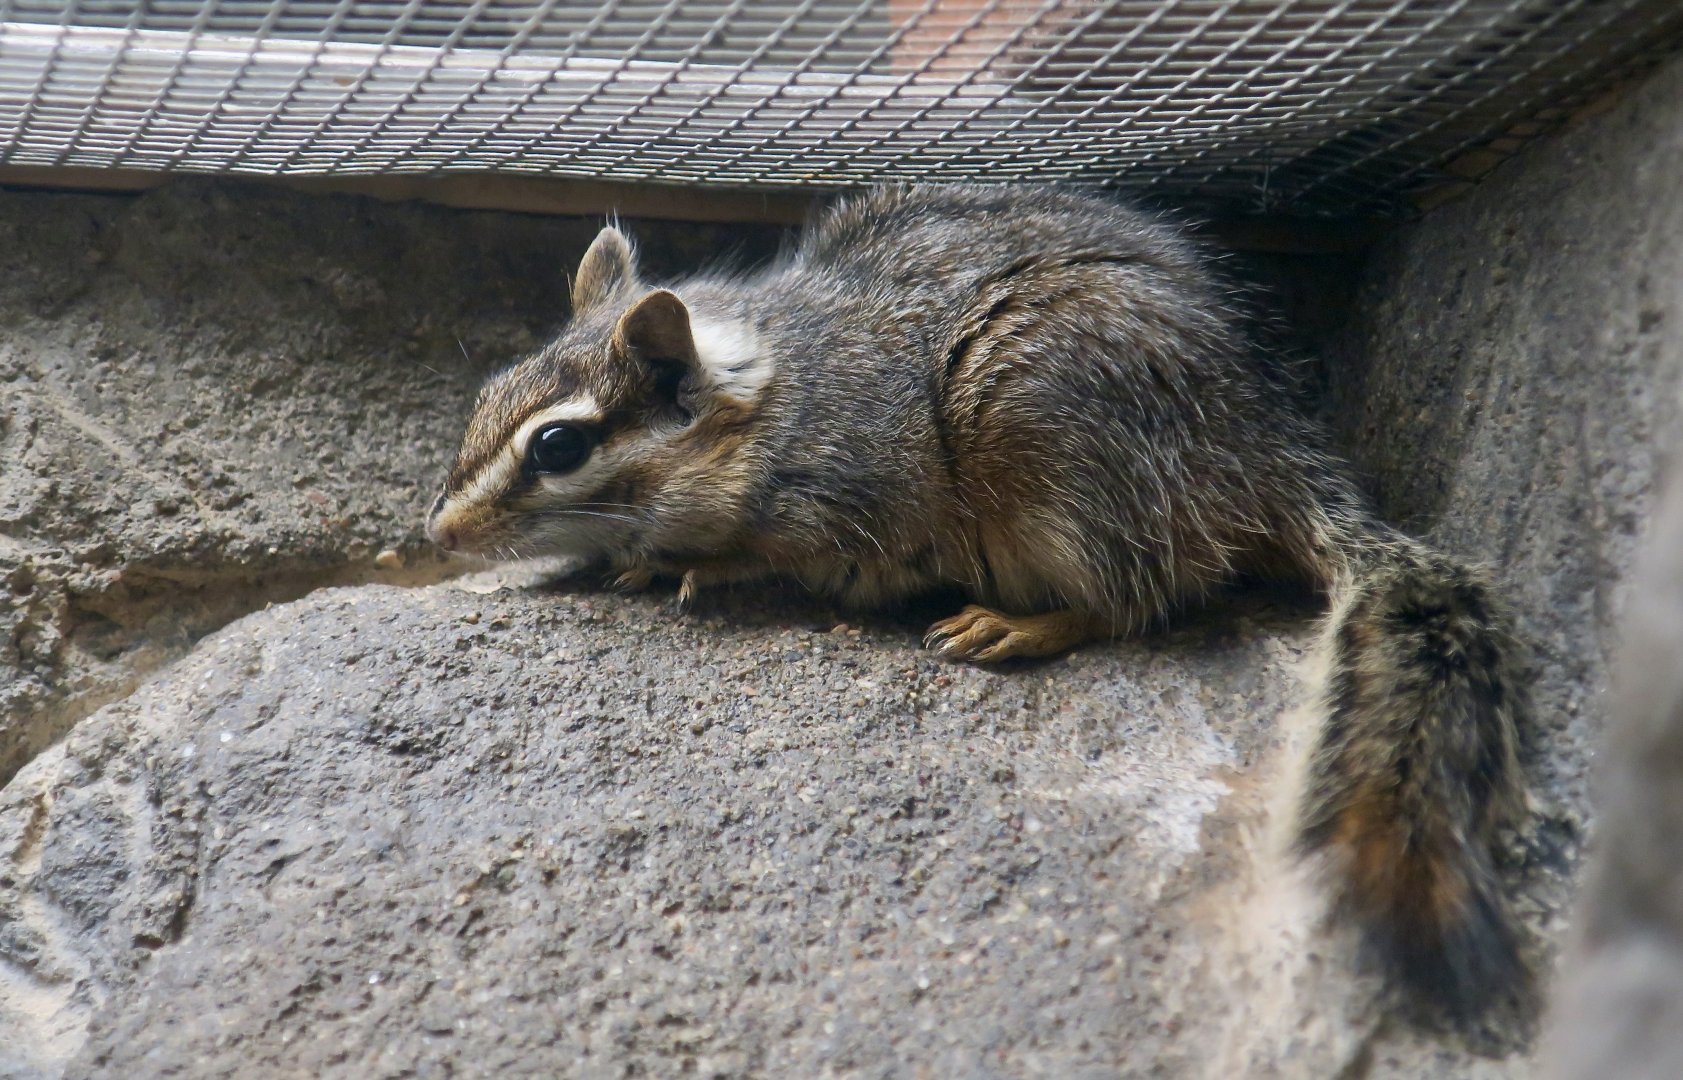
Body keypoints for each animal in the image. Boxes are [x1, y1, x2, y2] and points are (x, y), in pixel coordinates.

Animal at [426, 185, 1529, 1017]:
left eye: (558, 446)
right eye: (488, 394)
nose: (438, 534)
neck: (780, 396)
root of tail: (1270, 452)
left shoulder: (867, 519)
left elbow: (798, 565)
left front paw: (705, 568)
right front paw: (646, 561)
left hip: (1048, 454)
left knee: (1141, 599)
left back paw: (1019, 622)